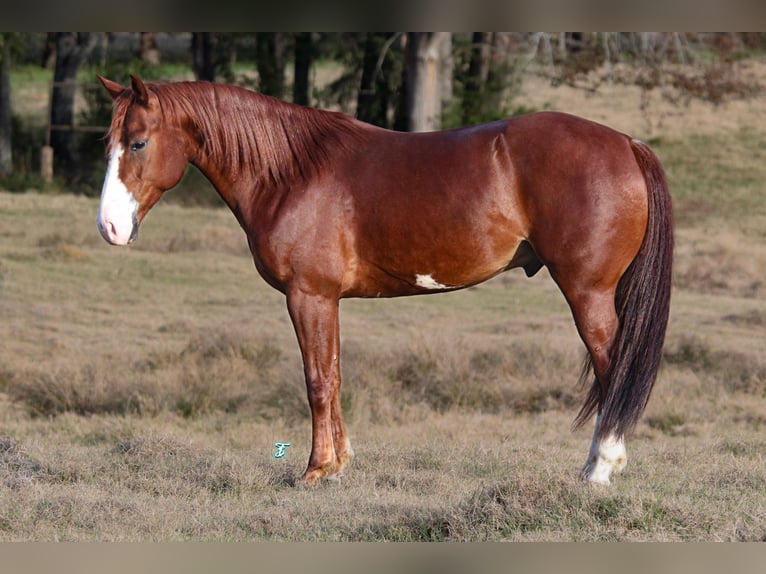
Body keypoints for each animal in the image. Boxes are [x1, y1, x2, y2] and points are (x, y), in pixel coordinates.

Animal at [94, 73, 672, 486]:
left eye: (138, 143)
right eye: (109, 143)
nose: (109, 228)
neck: (292, 172)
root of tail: (627, 143)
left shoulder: (308, 296)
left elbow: (316, 381)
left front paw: (313, 470)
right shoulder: (328, 300)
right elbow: (333, 374)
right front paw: (339, 464)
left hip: (587, 293)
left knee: (614, 369)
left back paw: (600, 470)